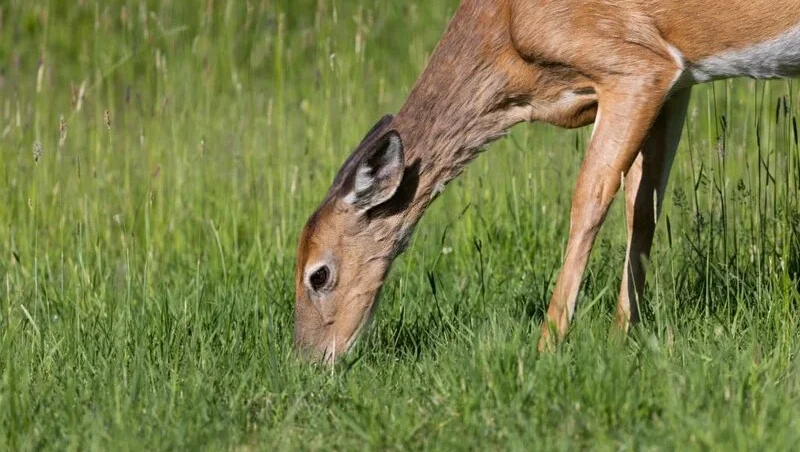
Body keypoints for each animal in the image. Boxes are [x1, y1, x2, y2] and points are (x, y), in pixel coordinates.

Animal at [292, 0, 800, 362]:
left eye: (319, 274)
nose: (310, 361)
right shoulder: (678, 83)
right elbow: (643, 207)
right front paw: (623, 338)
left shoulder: (638, 67)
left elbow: (590, 197)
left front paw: (546, 347)